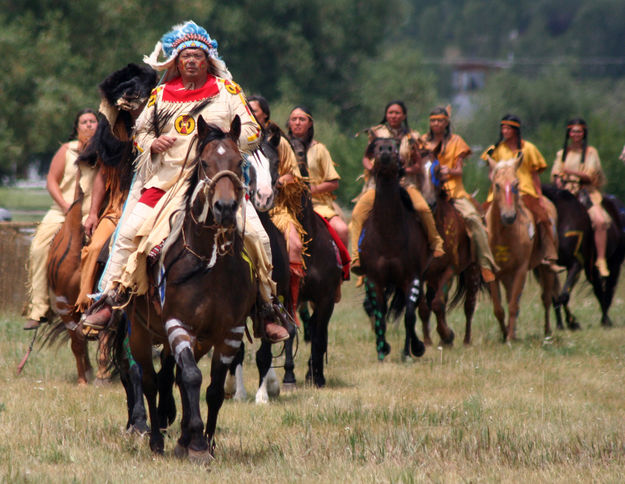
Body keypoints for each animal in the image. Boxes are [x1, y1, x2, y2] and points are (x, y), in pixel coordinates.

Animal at [358, 138, 426, 362]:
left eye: (395, 148)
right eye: (376, 146)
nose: (386, 151)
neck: (388, 235)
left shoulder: (411, 277)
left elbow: (410, 315)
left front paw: (411, 350)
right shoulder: (374, 280)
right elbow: (379, 312)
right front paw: (382, 349)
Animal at [414, 144, 482, 344]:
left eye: (438, 170)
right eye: (416, 171)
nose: (429, 203)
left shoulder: (450, 269)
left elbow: (438, 303)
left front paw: (447, 334)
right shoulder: (421, 273)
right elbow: (424, 307)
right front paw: (429, 341)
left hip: (472, 270)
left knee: (469, 305)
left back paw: (466, 340)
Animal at [482, 154, 556, 340]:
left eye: (516, 184)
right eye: (497, 185)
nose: (509, 216)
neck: (503, 234)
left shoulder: (520, 269)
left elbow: (513, 305)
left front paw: (509, 338)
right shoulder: (493, 271)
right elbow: (499, 308)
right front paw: (505, 334)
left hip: (545, 268)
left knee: (546, 298)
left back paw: (547, 332)